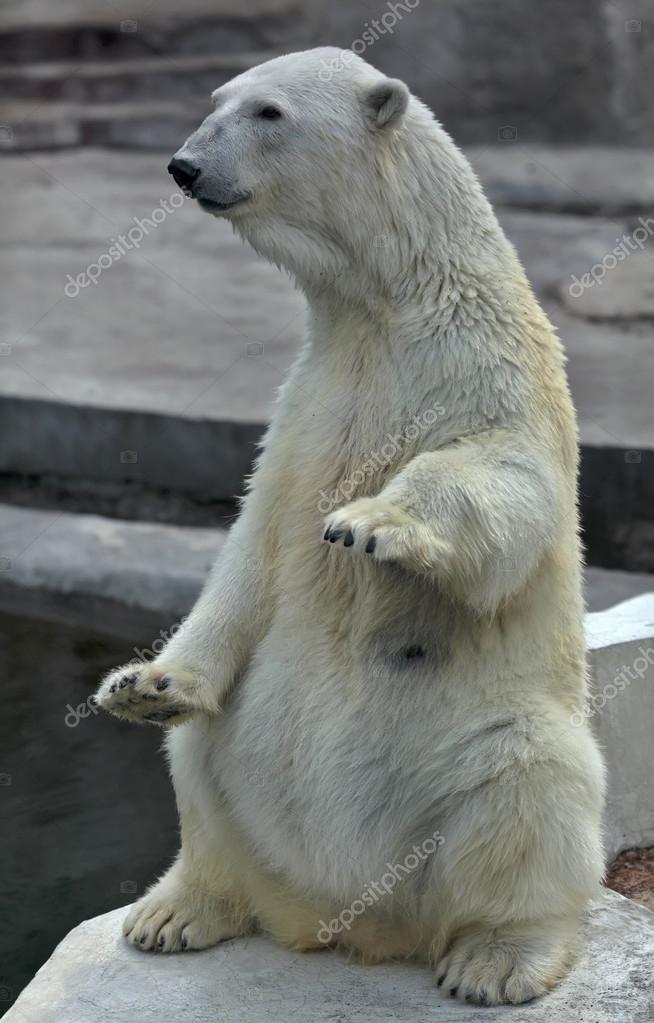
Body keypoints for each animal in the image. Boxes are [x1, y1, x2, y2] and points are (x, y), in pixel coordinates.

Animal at [94, 48, 605, 1006]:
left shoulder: (488, 364)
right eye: (216, 100)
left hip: (482, 740)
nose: (183, 166)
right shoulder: (307, 402)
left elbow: (507, 478)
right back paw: (175, 908)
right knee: (200, 760)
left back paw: (495, 957)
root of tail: (356, 917)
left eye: (268, 112)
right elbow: (250, 547)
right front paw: (143, 682)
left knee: (533, 785)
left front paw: (375, 521)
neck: (387, 304)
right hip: (249, 756)